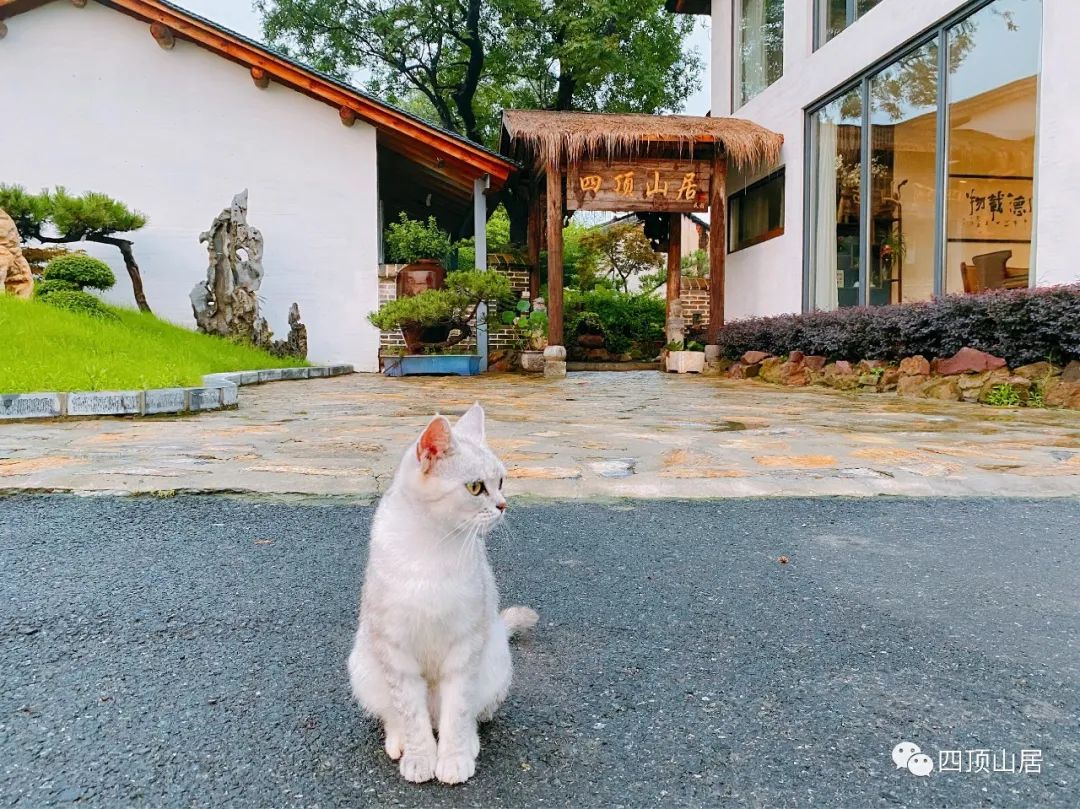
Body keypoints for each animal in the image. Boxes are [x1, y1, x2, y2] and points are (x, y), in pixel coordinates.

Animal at [347, 401, 537, 781]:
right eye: (476, 487)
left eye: (501, 482)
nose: (503, 505)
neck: (433, 548)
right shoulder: (395, 650)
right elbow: (411, 715)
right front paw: (420, 758)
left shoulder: (465, 648)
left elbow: (458, 713)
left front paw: (453, 758)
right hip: (363, 665)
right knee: (394, 715)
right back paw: (399, 741)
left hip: (495, 661)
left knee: (472, 714)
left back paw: (470, 741)